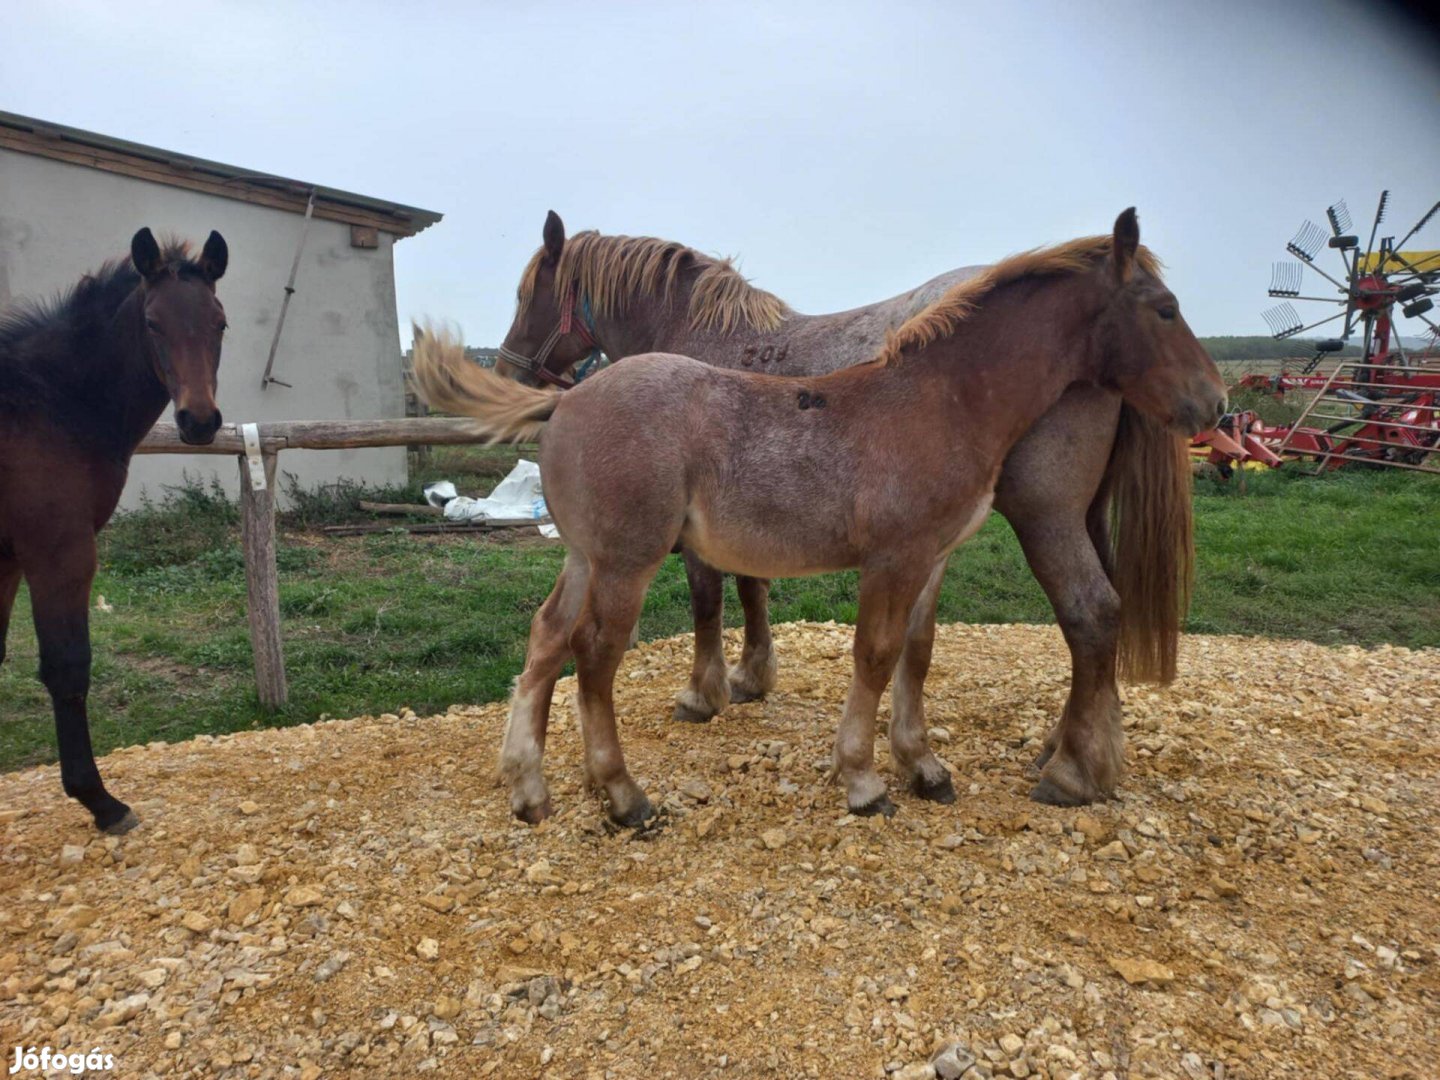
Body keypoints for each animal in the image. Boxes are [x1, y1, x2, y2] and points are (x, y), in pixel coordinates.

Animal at [0, 228, 227, 835]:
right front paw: (100, 801)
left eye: (220, 322)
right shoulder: (60, 552)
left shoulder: (6, 563)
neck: (51, 403)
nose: (199, 421)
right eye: (152, 322)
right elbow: (68, 667)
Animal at [417, 211, 1226, 823]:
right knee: (591, 652)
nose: (1212, 404)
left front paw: (922, 766)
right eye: (1165, 309)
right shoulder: (893, 557)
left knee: (548, 637)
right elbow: (872, 652)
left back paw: (529, 787)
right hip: (624, 559)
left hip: (589, 555)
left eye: (532, 292)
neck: (941, 395)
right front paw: (862, 779)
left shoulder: (930, 556)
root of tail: (565, 401)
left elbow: (912, 653)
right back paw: (621, 795)